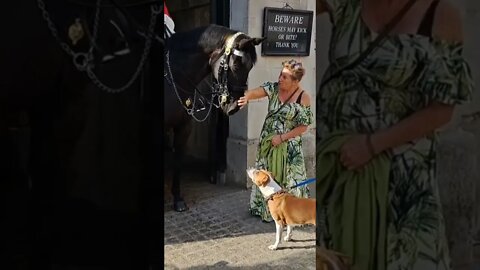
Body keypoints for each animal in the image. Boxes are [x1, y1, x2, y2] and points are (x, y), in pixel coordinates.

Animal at [163, 24, 264, 212]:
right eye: (236, 65)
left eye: (250, 67)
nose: (234, 106)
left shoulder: (183, 127)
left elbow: (178, 159)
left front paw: (178, 199)